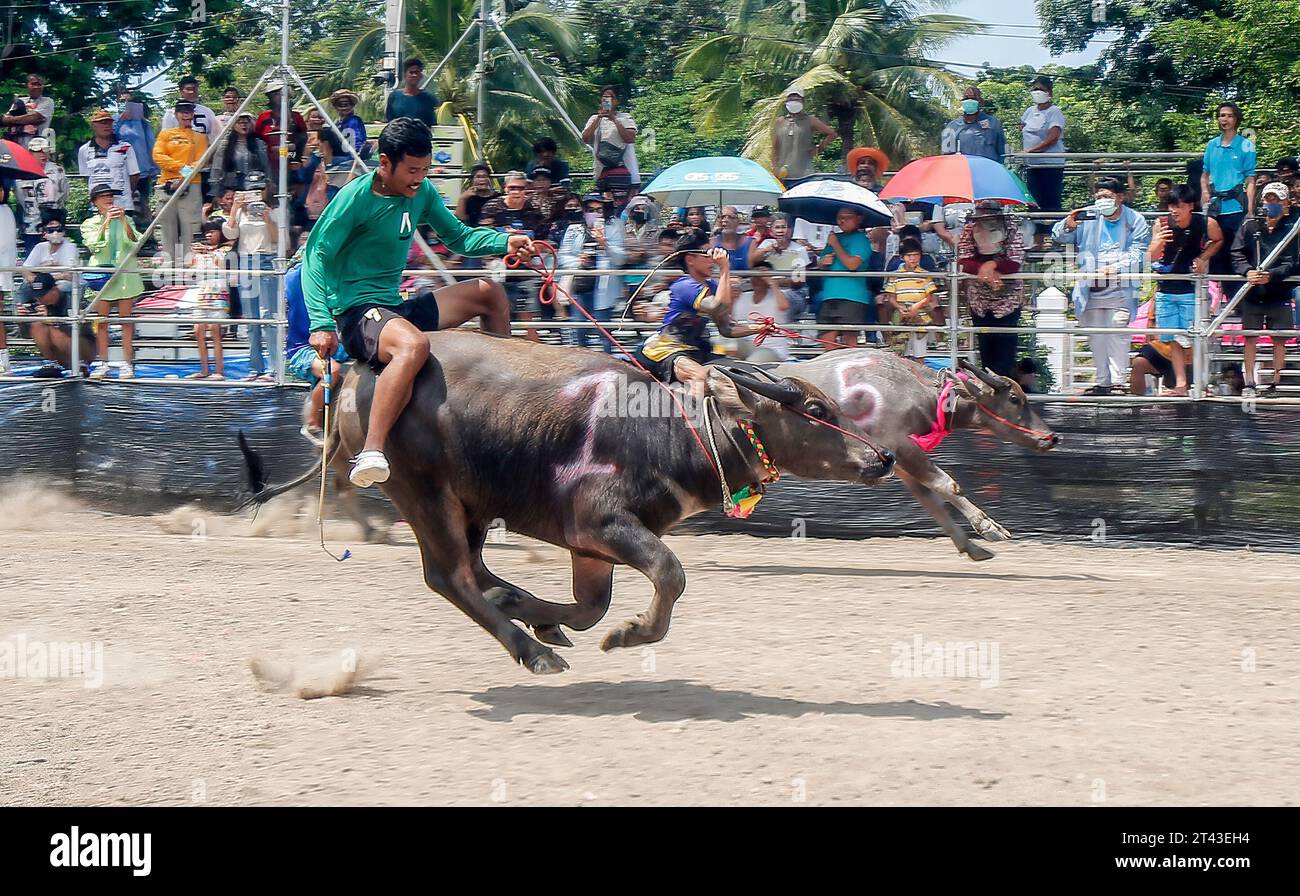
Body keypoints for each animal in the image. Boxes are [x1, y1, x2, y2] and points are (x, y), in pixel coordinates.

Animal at [241, 331, 894, 676]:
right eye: (817, 409)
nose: (883, 456)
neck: (668, 431)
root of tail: (352, 375)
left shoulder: (591, 546)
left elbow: (590, 608)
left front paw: (545, 613)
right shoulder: (600, 523)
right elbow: (668, 575)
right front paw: (630, 633)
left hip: (470, 503)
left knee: (473, 570)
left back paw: (519, 611)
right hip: (423, 491)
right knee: (448, 576)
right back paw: (530, 650)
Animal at [769, 348, 1055, 559]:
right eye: (1015, 398)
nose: (1051, 437)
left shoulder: (900, 463)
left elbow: (932, 501)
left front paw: (972, 548)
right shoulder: (901, 446)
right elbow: (947, 485)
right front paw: (990, 528)